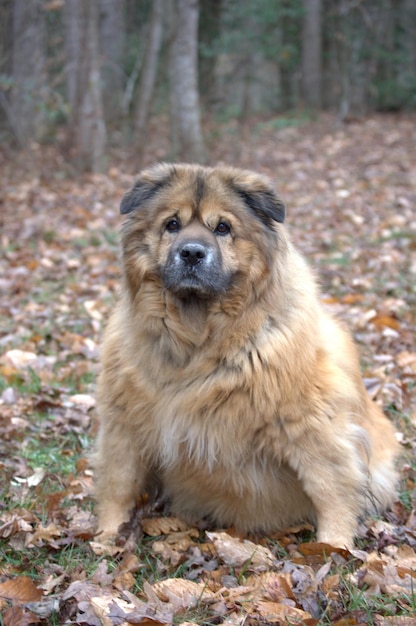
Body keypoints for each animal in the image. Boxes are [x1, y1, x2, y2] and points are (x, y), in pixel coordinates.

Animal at [92, 161, 398, 544]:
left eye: (222, 228)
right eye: (172, 224)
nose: (191, 252)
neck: (198, 340)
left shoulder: (309, 424)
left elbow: (331, 486)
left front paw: (334, 546)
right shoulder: (125, 423)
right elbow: (118, 483)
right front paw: (106, 535)